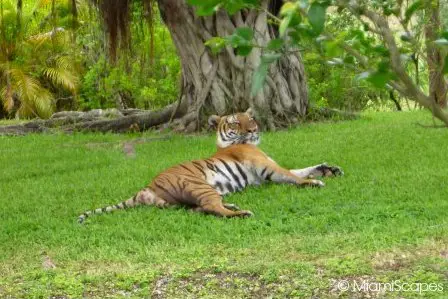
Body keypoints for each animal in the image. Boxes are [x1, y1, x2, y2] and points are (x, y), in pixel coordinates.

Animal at [77, 109, 344, 224]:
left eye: (251, 118)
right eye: (236, 122)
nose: (253, 129)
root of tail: (146, 189)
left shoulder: (266, 170)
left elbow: (300, 169)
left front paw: (329, 169)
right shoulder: (264, 166)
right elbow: (293, 175)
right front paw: (314, 181)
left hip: (184, 200)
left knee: (198, 209)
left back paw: (233, 205)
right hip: (199, 185)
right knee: (211, 208)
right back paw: (241, 213)